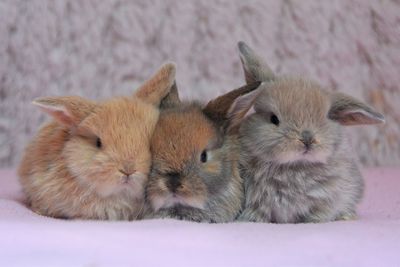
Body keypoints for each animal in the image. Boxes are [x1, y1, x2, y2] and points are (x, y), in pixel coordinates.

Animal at [238, 43, 384, 224]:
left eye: (326, 117)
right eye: (273, 119)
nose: (307, 139)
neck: (295, 166)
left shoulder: (326, 200)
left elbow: (318, 215)